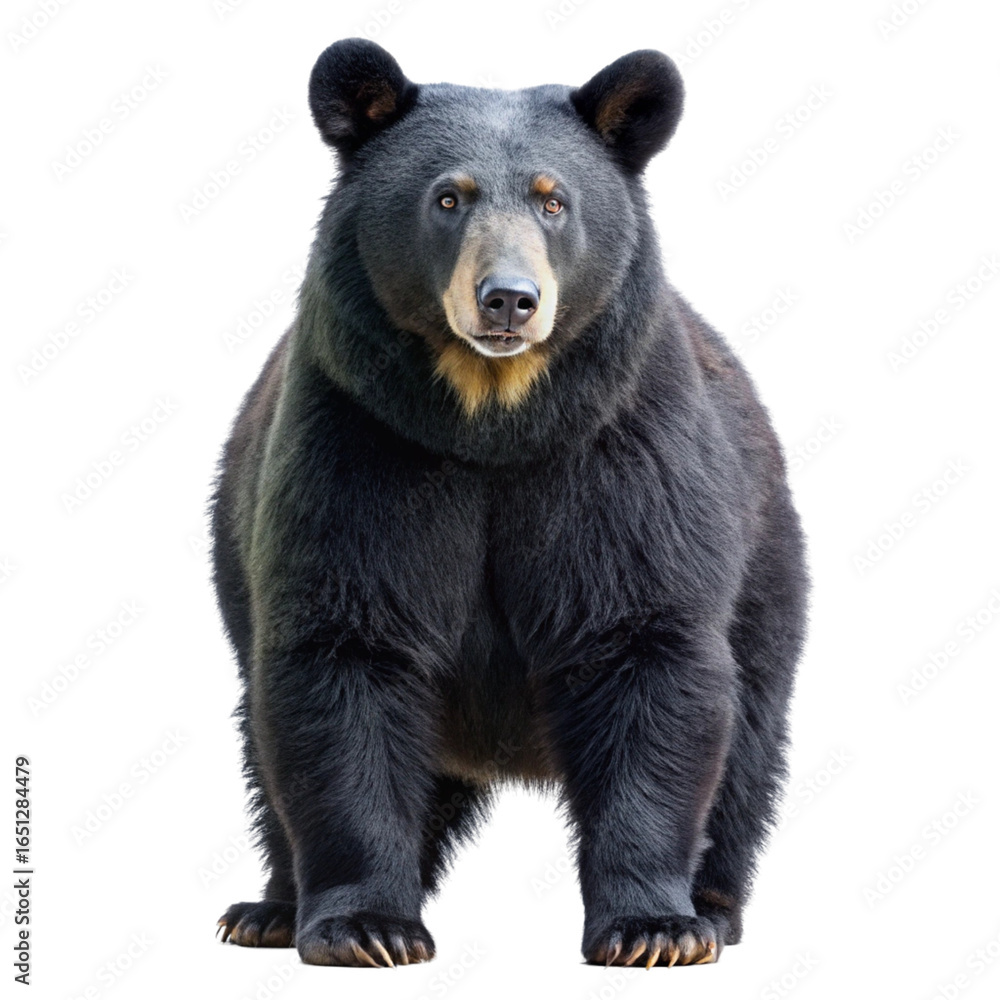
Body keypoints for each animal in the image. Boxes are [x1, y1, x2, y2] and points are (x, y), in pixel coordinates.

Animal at [212, 39, 808, 969]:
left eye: (553, 200)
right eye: (447, 197)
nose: (509, 298)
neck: (495, 417)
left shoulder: (623, 452)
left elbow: (645, 645)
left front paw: (651, 928)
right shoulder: (359, 437)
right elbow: (343, 648)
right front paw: (366, 926)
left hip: (764, 563)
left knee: (748, 735)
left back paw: (711, 908)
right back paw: (268, 909)